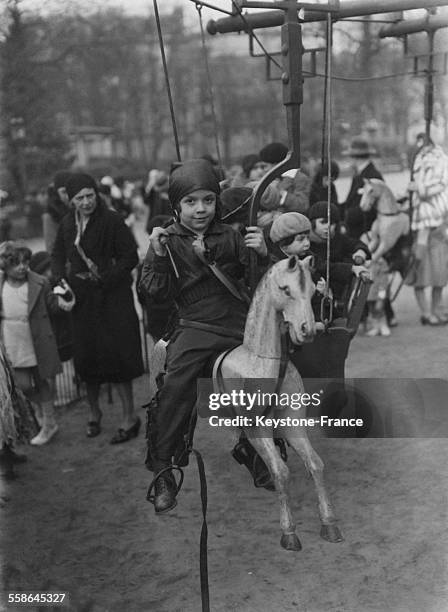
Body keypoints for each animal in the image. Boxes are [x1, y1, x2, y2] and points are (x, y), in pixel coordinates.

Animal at [150, 256, 344, 552]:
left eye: (313, 291)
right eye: (285, 289)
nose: (307, 330)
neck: (263, 361)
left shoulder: (291, 424)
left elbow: (315, 463)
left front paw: (329, 524)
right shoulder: (258, 428)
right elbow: (281, 471)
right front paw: (289, 532)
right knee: (163, 422)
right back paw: (163, 489)